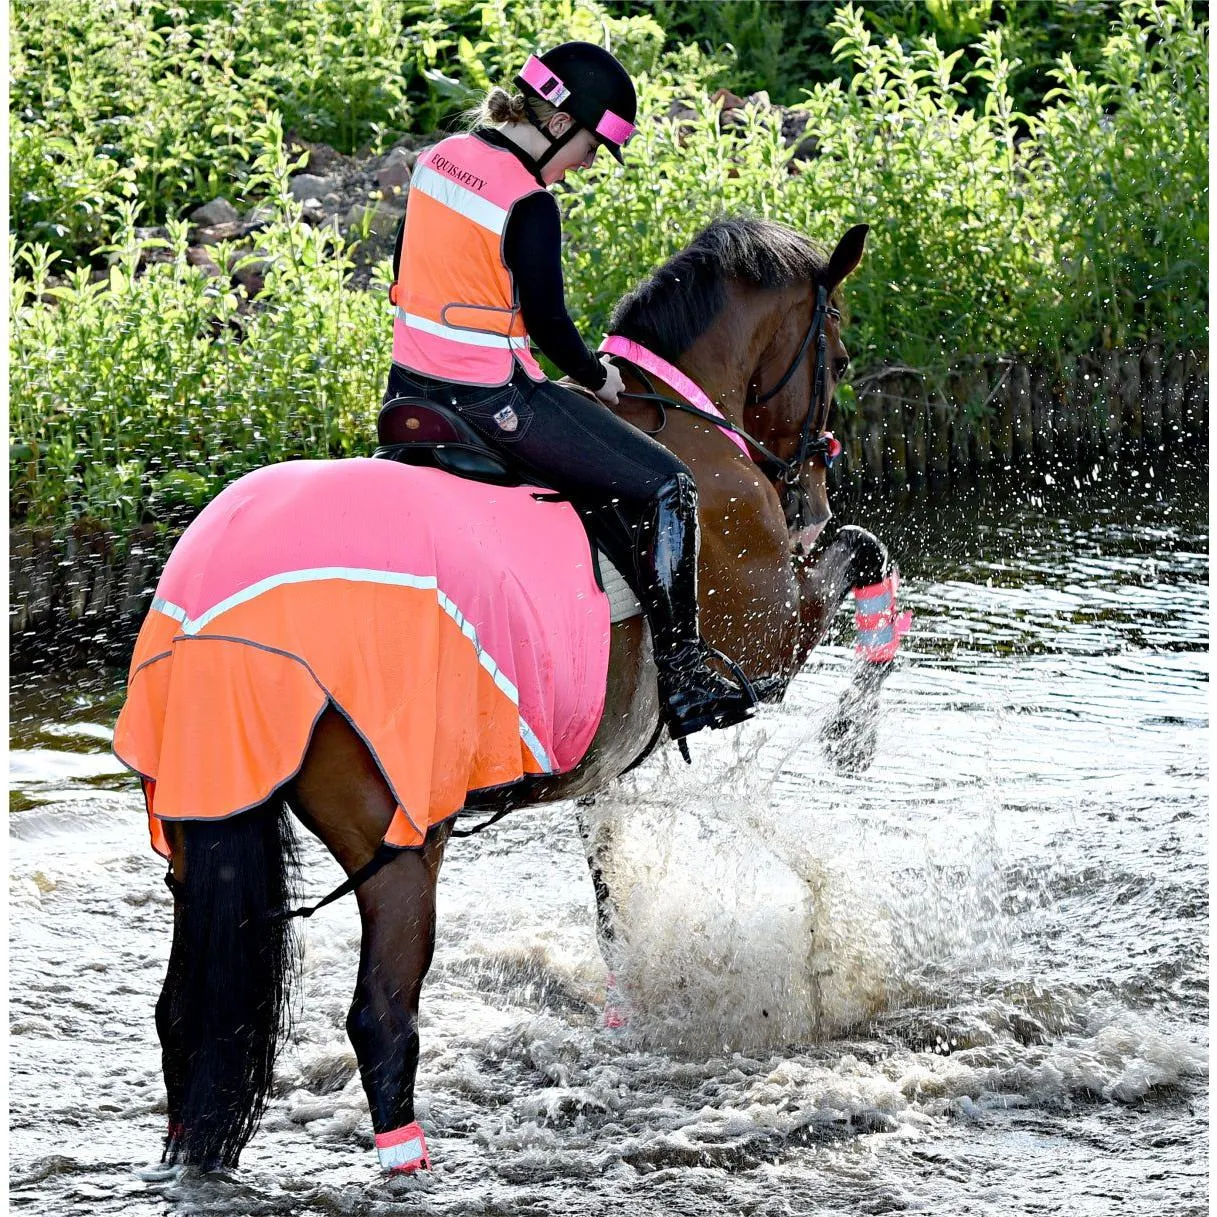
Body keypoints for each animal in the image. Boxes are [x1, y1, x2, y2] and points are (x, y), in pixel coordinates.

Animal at [114, 214, 910, 1173]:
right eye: (837, 350)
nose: (814, 486)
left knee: (185, 1018)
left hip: (202, 819)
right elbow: (866, 551)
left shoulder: (610, 752)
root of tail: (218, 632)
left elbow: (609, 892)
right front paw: (853, 731)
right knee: (382, 1017)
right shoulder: (771, 635)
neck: (689, 419)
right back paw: (408, 1163)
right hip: (400, 839)